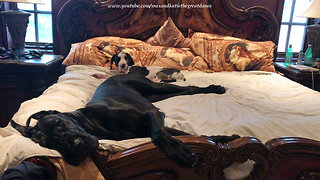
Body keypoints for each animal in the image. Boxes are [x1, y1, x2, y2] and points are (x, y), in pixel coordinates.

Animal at [11, 73, 238, 167]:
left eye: (59, 123)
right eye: (47, 144)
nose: (75, 148)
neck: (92, 121)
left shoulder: (151, 115)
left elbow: (160, 134)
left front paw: (180, 152)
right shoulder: (155, 120)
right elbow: (188, 135)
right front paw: (224, 139)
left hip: (154, 88)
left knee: (189, 88)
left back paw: (214, 88)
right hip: (154, 96)